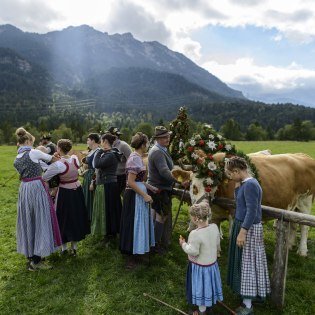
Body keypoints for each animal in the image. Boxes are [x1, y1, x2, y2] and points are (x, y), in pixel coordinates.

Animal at [174, 124, 315, 256]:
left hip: (305, 202)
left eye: (213, 186)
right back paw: (290, 245)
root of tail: (303, 156)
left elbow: (234, 234)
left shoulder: (234, 213)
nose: (203, 209)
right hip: (293, 206)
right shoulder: (215, 214)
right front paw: (216, 252)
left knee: (304, 227)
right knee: (293, 224)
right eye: (193, 186)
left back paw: (302, 250)